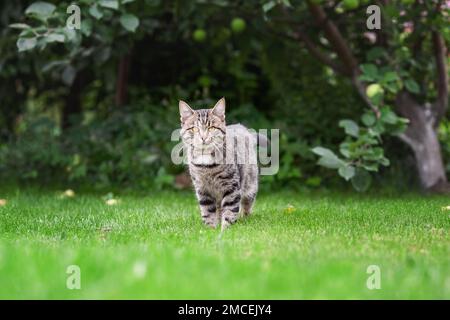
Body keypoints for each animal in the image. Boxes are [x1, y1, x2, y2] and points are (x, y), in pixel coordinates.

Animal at [179, 97, 262, 230]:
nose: (203, 137)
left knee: (247, 204)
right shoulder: (202, 189)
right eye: (194, 129)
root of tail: (242, 128)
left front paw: (225, 229)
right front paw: (210, 229)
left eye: (212, 128)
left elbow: (230, 209)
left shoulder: (231, 186)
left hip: (250, 184)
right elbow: (207, 211)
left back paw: (244, 217)